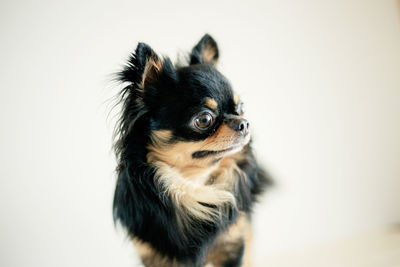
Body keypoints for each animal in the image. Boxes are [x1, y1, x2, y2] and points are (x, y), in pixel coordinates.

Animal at [111, 34, 270, 266]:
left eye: (241, 108)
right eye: (204, 119)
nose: (244, 123)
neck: (192, 184)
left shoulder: (233, 246)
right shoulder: (155, 256)